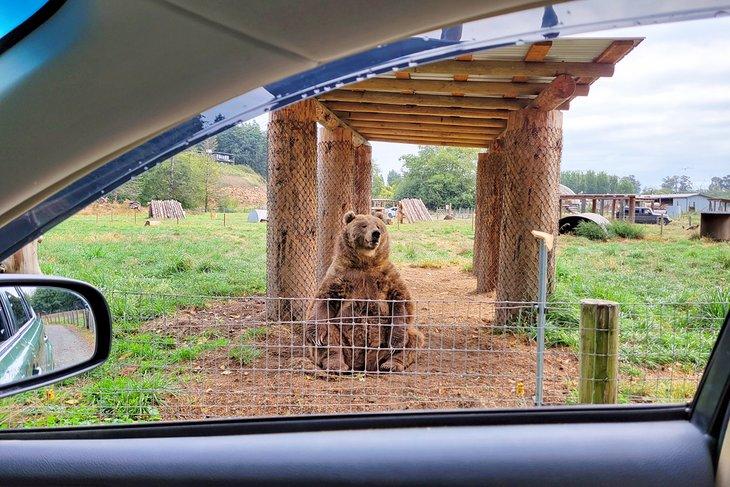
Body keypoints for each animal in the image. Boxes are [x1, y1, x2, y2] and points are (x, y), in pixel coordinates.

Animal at [305, 210, 424, 373]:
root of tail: (361, 364)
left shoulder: (387, 276)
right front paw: (315, 335)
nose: (376, 234)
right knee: (331, 337)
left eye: (378, 226)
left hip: (382, 345)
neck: (365, 262)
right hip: (343, 338)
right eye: (363, 225)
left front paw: (396, 342)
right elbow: (324, 299)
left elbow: (401, 301)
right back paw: (336, 364)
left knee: (413, 338)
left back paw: (390, 364)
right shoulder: (341, 274)